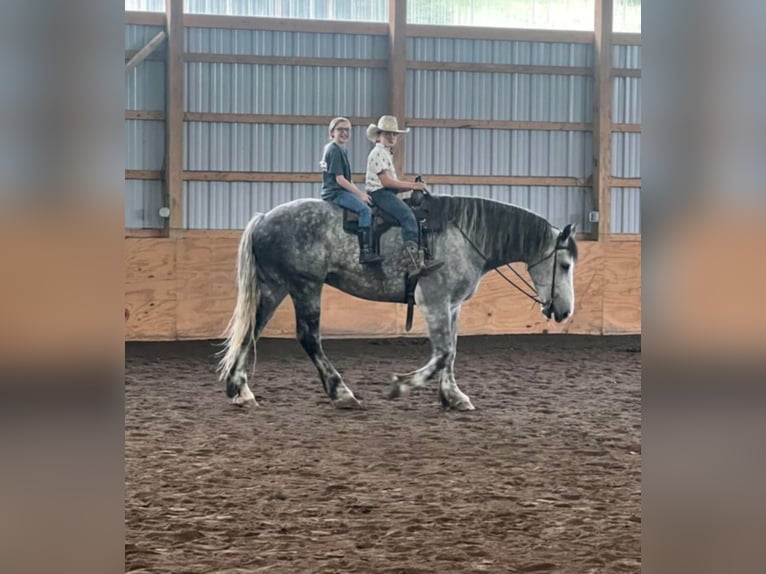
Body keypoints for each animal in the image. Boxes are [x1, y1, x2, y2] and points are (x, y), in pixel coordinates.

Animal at [216, 196, 576, 412]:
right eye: (564, 265)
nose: (565, 312)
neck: (464, 237)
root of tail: (264, 218)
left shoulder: (452, 305)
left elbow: (452, 353)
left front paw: (453, 396)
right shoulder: (435, 302)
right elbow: (442, 353)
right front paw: (400, 386)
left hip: (274, 287)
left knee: (249, 332)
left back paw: (240, 390)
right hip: (305, 287)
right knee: (309, 338)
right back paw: (341, 393)